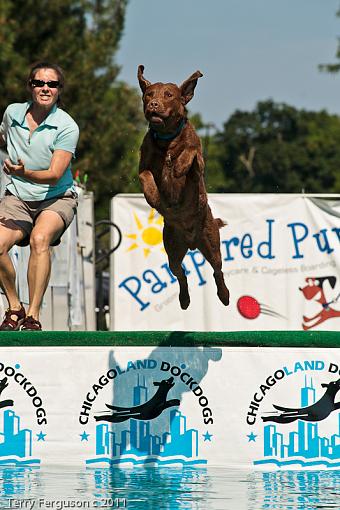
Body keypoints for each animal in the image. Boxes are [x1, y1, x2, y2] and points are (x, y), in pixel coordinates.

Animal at [137, 65, 230, 308]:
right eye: (149, 94)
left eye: (169, 95)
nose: (153, 105)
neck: (167, 140)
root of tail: (192, 242)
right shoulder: (143, 165)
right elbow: (147, 177)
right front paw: (155, 197)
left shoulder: (198, 166)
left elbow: (191, 153)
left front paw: (179, 166)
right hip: (172, 248)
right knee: (181, 274)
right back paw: (184, 299)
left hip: (212, 244)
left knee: (218, 271)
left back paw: (225, 296)